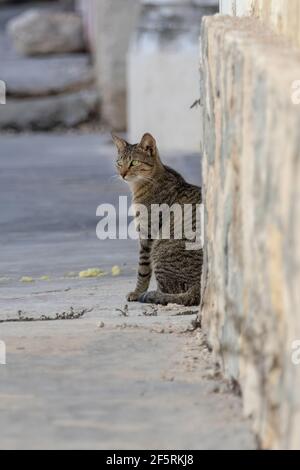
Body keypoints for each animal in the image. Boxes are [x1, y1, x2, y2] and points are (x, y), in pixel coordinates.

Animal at [113, 133, 204, 308]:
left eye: (134, 162)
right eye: (119, 163)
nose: (122, 174)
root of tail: (199, 287)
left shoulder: (147, 235)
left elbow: (143, 270)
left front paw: (137, 292)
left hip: (159, 249)